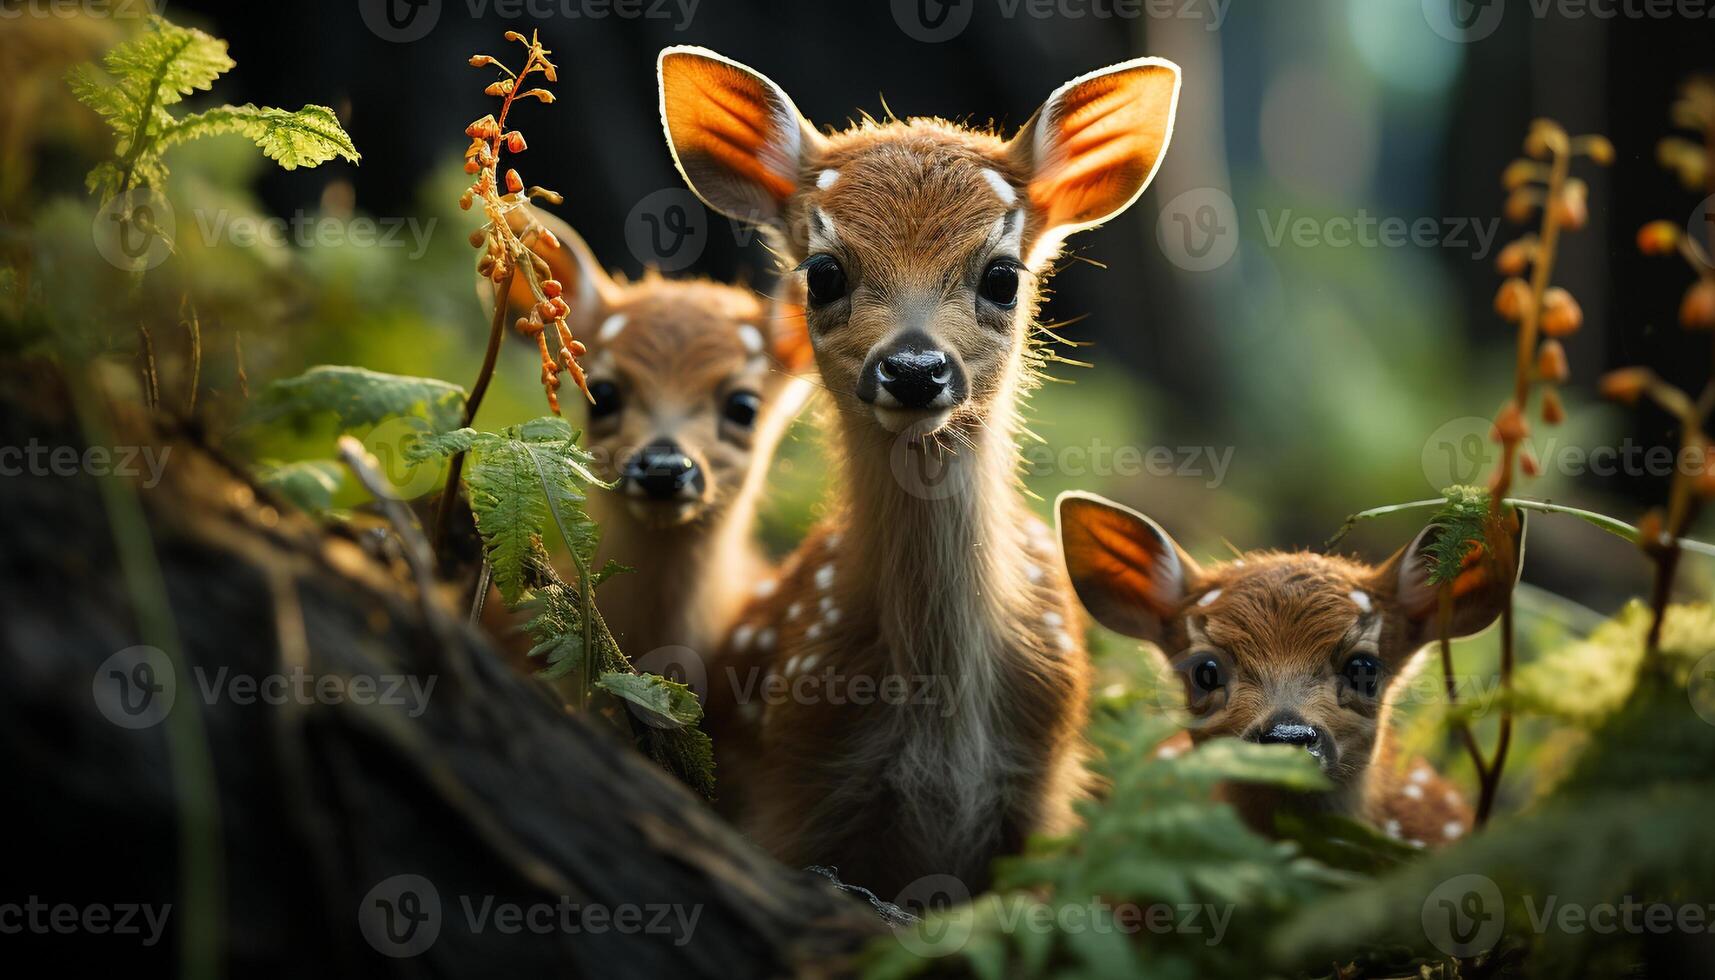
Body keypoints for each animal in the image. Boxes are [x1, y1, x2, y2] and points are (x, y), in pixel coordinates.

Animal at [651, 47, 1179, 899]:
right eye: (823, 271)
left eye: (1001, 275)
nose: (913, 368)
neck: (942, 729)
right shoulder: (794, 782)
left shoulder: (1041, 792)